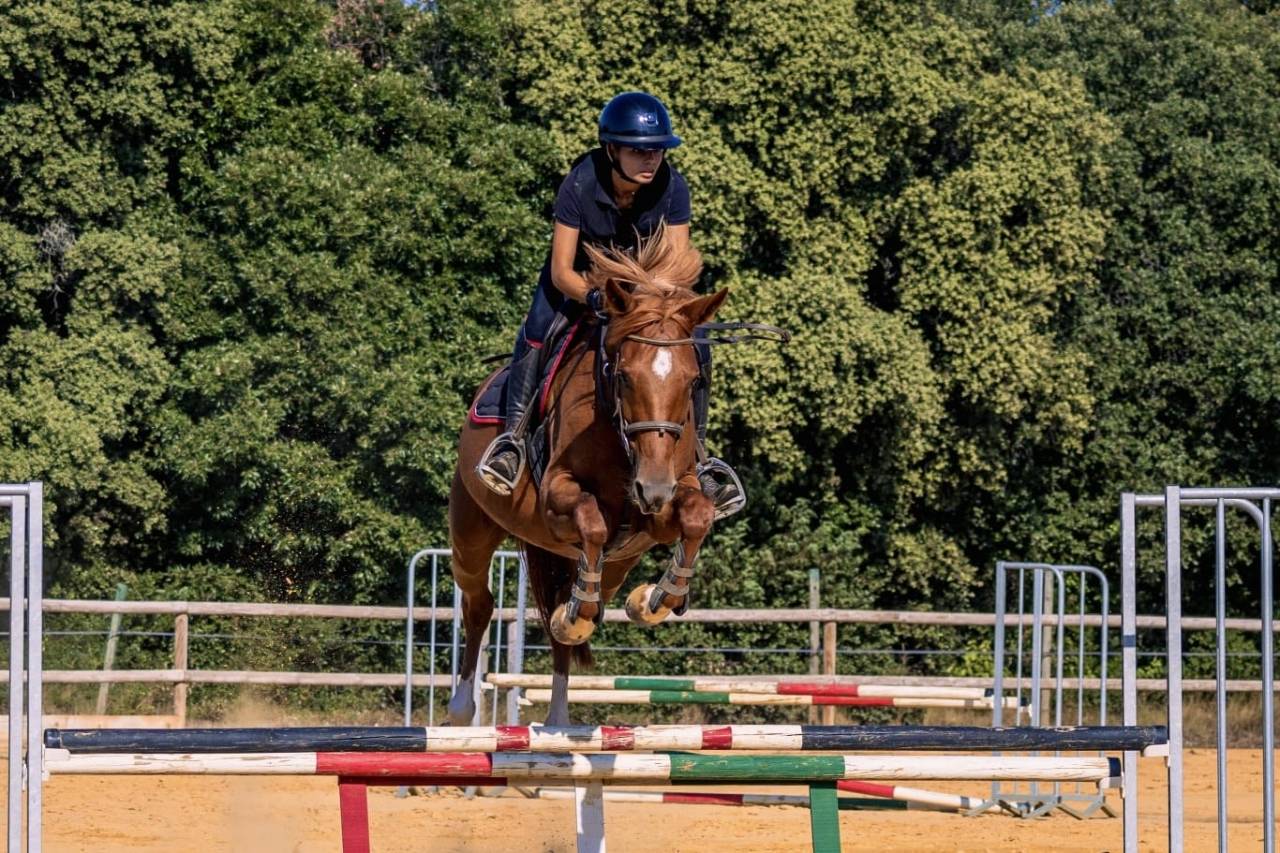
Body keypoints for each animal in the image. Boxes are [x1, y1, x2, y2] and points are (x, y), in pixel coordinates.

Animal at [447, 228, 726, 726]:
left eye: (693, 380)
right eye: (625, 376)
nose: (653, 489)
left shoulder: (664, 503)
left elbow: (696, 516)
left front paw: (654, 600)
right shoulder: (556, 497)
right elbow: (592, 520)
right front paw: (585, 612)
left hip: (615, 564)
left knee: (569, 611)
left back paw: (559, 710)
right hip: (472, 530)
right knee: (479, 602)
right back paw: (462, 707)